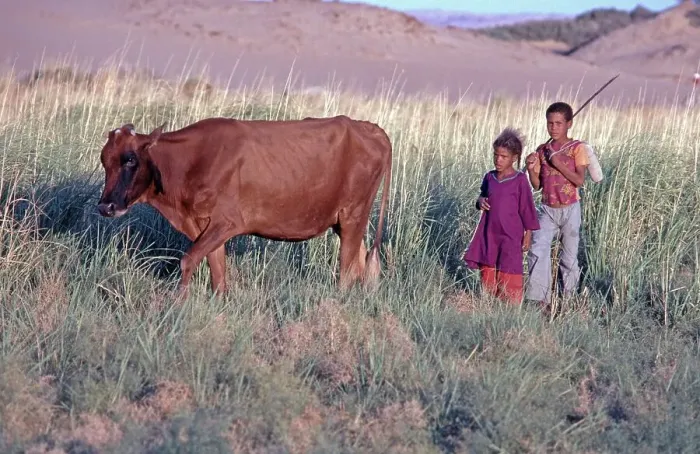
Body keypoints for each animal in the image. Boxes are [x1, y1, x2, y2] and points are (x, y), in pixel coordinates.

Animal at [96, 115, 392, 297]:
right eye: (104, 160)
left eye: (130, 159)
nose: (105, 207)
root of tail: (369, 127)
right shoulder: (205, 226)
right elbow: (218, 275)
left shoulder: (227, 222)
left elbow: (187, 260)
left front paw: (178, 303)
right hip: (345, 222)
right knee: (361, 263)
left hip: (353, 215)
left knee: (347, 271)